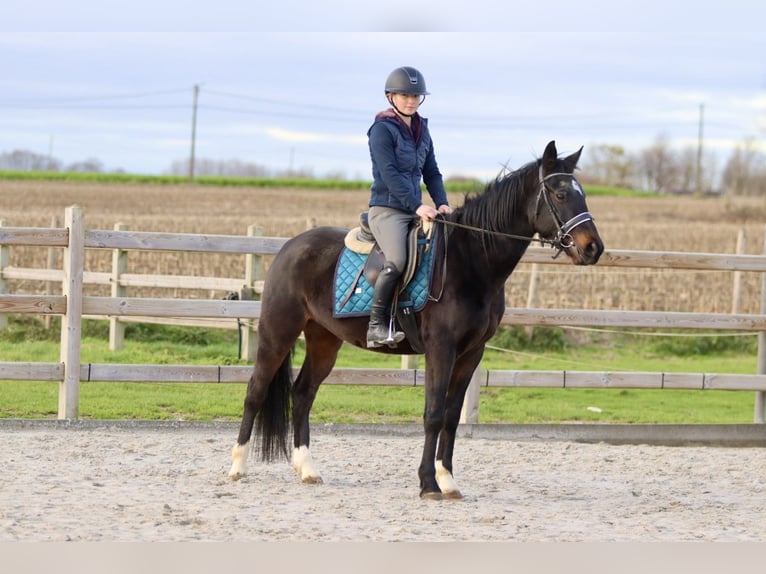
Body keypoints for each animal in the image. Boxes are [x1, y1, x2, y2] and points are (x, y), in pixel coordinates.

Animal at [229, 140, 604, 499]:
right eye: (560, 194)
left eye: (582, 194)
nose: (593, 248)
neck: (469, 261)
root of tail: (291, 246)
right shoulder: (441, 349)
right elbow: (433, 414)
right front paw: (428, 484)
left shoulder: (471, 354)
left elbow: (451, 417)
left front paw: (448, 481)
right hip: (277, 333)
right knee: (255, 390)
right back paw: (237, 467)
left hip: (324, 341)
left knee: (303, 393)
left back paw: (306, 469)